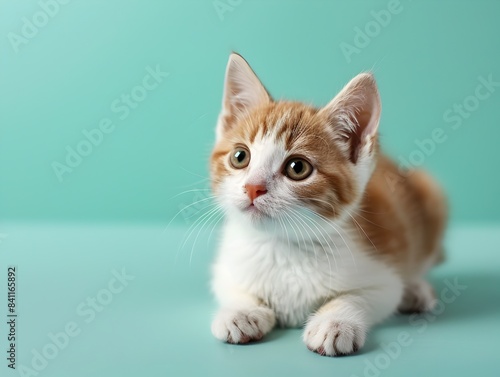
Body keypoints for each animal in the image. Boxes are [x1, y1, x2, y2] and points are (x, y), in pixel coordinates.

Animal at [209, 53, 448, 356]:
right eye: (240, 157)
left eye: (297, 168)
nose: (253, 187)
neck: (283, 247)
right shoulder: (226, 269)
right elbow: (232, 287)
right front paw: (241, 312)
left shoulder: (384, 279)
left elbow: (359, 297)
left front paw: (335, 322)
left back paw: (416, 291)